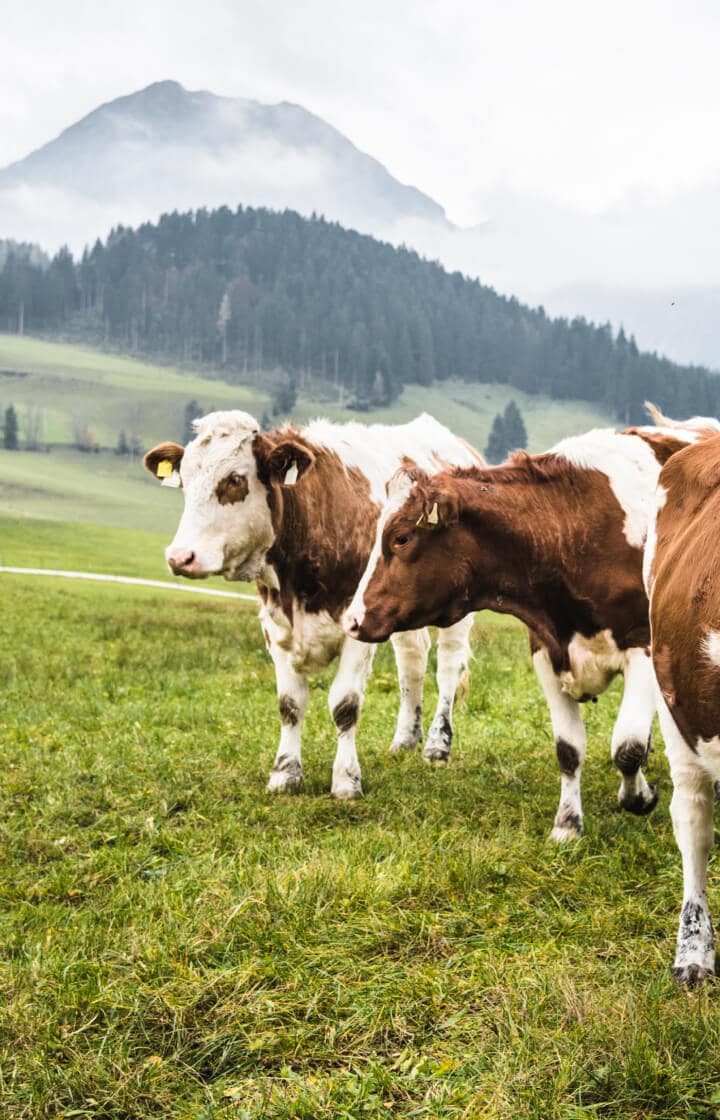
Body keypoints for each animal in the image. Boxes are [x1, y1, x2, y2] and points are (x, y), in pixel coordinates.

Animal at [145, 412, 483, 797]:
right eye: (184, 481)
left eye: (235, 479)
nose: (179, 557)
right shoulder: (275, 626)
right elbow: (290, 704)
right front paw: (284, 773)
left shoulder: (356, 627)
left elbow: (345, 704)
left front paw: (346, 780)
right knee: (412, 660)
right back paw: (405, 740)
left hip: (456, 611)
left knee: (448, 666)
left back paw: (437, 746)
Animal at [344, 409, 720, 842]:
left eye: (401, 538)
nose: (352, 620)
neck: (572, 529)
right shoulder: (544, 649)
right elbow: (569, 749)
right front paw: (567, 825)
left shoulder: (642, 648)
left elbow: (626, 746)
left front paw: (638, 796)